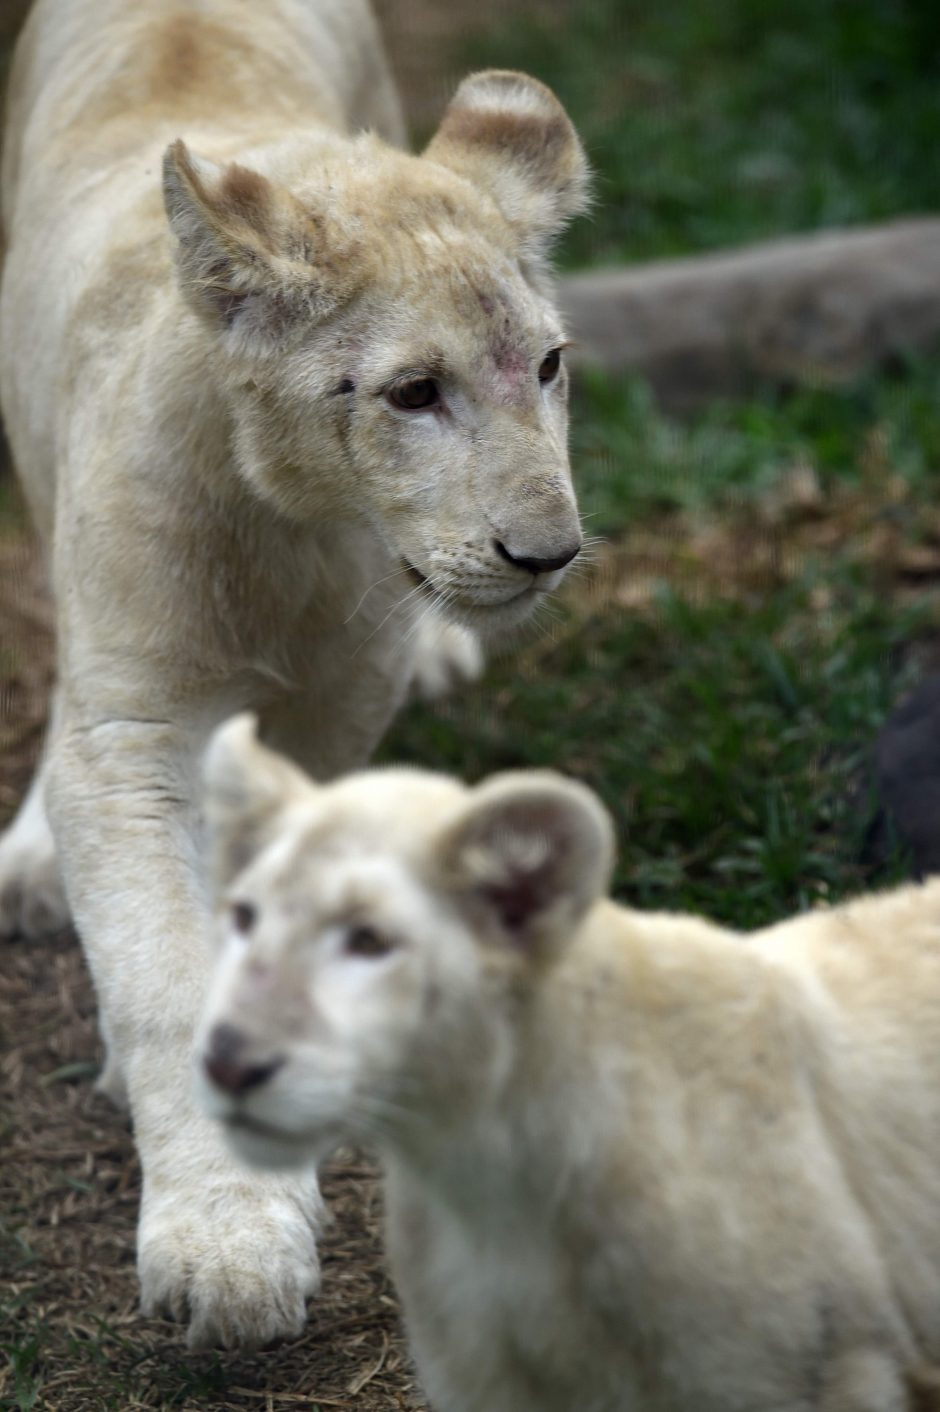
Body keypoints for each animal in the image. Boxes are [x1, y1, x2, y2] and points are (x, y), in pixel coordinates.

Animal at [0, 0, 587, 1349]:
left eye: (546, 366)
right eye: (413, 393)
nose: (549, 552)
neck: (293, 523)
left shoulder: (331, 707)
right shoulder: (131, 727)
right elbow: (161, 970)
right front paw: (224, 1244)